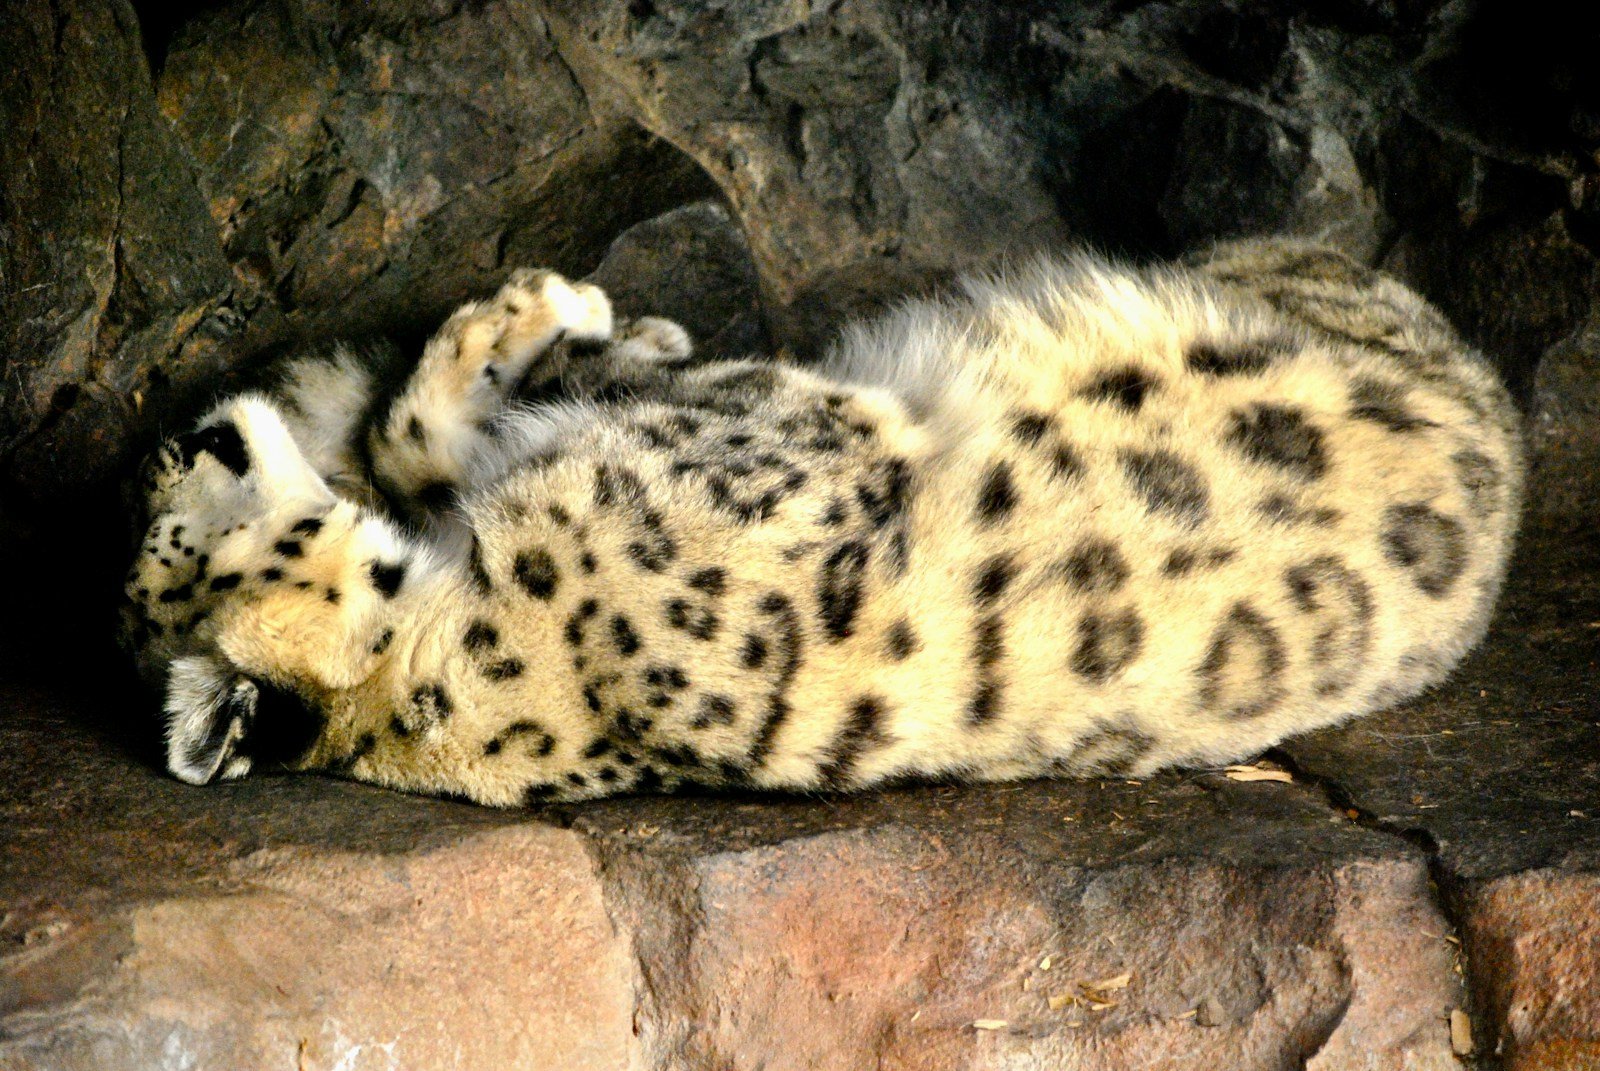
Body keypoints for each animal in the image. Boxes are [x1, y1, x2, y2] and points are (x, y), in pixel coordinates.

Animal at [119, 238, 1523, 807]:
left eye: (163, 515)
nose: (172, 438)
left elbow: (417, 435)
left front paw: (579, 327)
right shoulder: (793, 423)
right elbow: (427, 425)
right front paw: (555, 313)